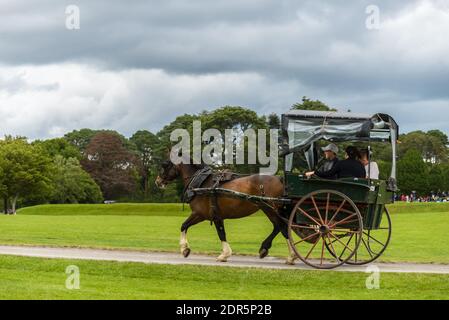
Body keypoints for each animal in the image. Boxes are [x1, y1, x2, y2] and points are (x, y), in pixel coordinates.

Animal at [154, 159, 288, 262]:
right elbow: (184, 226)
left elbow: (220, 233)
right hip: (269, 208)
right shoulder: (204, 215)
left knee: (282, 226)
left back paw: (289, 256)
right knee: (279, 226)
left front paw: (224, 254)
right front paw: (185, 249)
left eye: (165, 165)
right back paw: (268, 249)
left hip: (269, 208)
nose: (157, 181)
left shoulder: (206, 215)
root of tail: (279, 178)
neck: (202, 184)